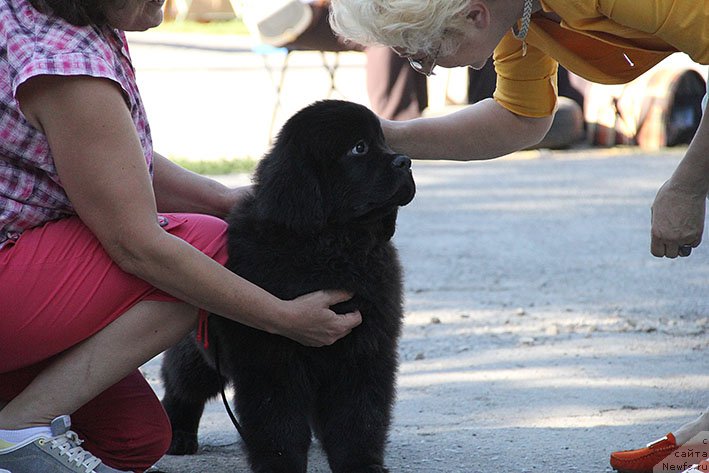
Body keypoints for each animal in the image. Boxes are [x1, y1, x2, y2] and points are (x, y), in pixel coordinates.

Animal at [160, 99, 414, 472]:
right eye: (359, 148)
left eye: (384, 141)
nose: (406, 161)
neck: (333, 246)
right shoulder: (271, 357)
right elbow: (278, 423)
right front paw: (281, 465)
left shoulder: (366, 350)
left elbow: (359, 417)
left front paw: (361, 463)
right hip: (200, 352)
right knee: (182, 385)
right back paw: (177, 434)